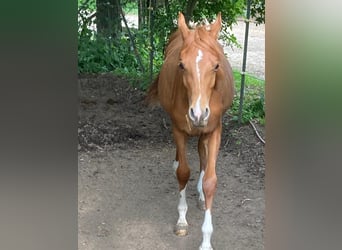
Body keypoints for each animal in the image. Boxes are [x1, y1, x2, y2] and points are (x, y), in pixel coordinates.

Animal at [146, 12, 234, 250]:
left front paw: (205, 240)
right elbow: (183, 173)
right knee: (182, 160)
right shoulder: (179, 129)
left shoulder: (214, 130)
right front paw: (182, 220)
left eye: (216, 66)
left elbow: (211, 180)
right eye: (181, 65)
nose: (198, 113)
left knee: (202, 155)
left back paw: (201, 195)